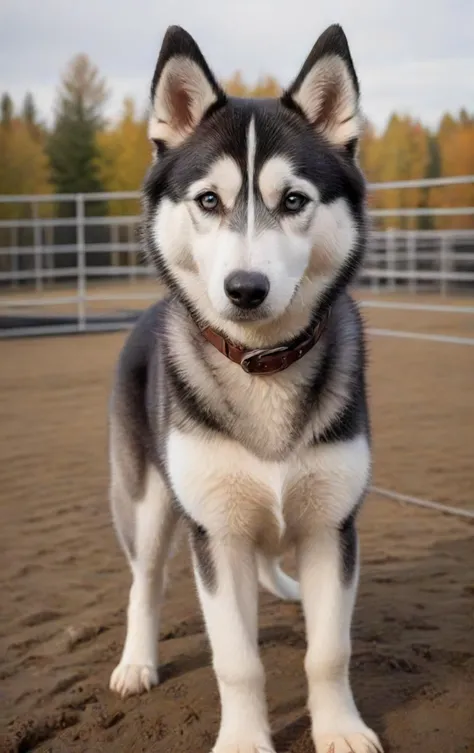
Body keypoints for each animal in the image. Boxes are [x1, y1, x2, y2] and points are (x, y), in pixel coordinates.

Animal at [107, 22, 382, 752]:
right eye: (209, 200)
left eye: (293, 201)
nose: (245, 289)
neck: (262, 368)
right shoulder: (215, 535)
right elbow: (236, 659)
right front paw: (243, 738)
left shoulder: (332, 527)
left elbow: (329, 650)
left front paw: (340, 728)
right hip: (148, 504)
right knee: (144, 583)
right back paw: (136, 662)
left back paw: (283, 586)